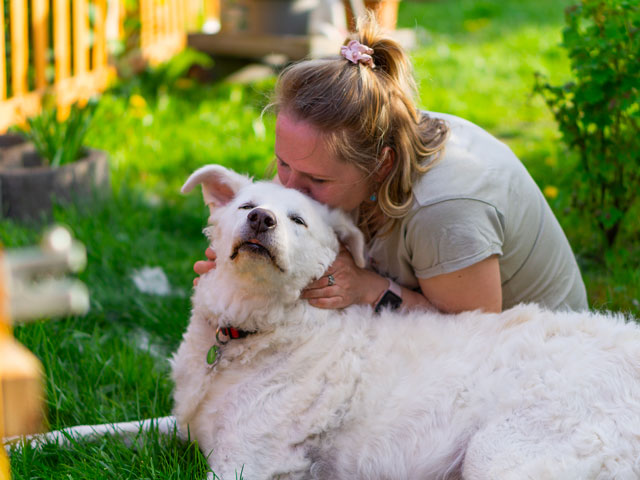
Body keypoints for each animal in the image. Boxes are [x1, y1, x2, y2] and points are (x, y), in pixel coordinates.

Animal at [172, 166, 640, 480]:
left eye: (298, 221)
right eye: (246, 206)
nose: (260, 219)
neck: (248, 330)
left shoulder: (245, 463)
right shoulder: (185, 428)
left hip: (499, 452)